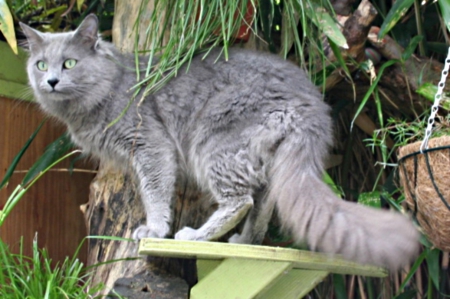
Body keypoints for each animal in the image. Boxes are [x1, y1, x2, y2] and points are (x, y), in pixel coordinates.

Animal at [20, 14, 418, 272]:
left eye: (69, 63)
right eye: (40, 65)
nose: (51, 81)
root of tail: (313, 105)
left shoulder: (151, 146)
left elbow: (155, 195)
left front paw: (155, 230)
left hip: (212, 143)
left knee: (240, 201)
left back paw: (193, 237)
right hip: (265, 158)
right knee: (263, 203)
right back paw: (243, 243)